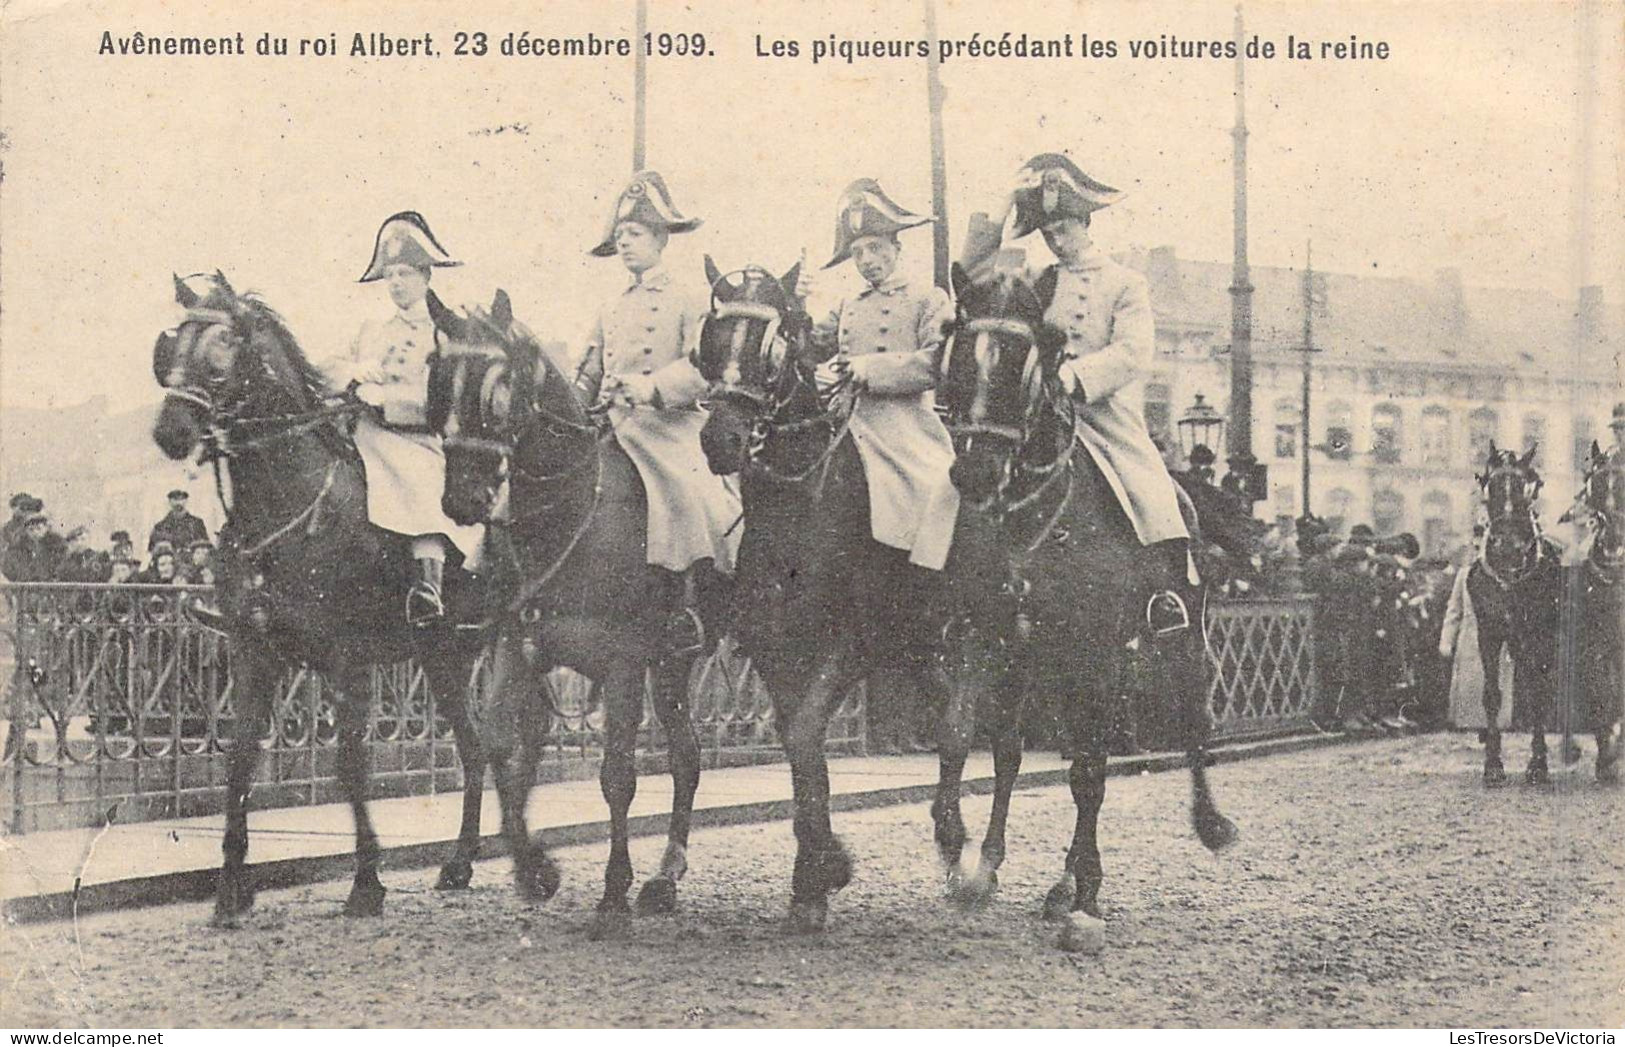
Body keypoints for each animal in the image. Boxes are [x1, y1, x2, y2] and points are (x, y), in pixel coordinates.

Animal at [156, 271, 490, 923]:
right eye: (171, 344)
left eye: (221, 347)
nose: (170, 432)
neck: (287, 502)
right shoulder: (254, 652)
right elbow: (239, 760)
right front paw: (231, 890)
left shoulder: (346, 658)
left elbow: (351, 765)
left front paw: (366, 881)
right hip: (445, 655)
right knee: (475, 747)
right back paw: (461, 863)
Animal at [425, 287, 711, 942]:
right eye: (438, 382)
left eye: (498, 389)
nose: (463, 499)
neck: (573, 507)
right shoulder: (517, 646)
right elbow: (500, 748)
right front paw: (537, 871)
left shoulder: (624, 661)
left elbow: (617, 775)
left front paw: (611, 893)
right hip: (671, 665)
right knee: (686, 756)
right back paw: (666, 877)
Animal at [936, 263, 1235, 942]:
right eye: (959, 349)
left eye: (1027, 353)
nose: (976, 474)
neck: (1030, 517)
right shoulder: (983, 638)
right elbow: (963, 736)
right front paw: (961, 851)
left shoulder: (1092, 656)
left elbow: (1088, 777)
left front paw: (1088, 894)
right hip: (1037, 664)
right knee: (1020, 753)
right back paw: (1027, 870)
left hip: (1173, 648)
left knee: (1188, 726)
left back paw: (1206, 825)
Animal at [1469, 442, 1566, 786]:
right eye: (1491, 486)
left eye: (1528, 487)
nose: (1509, 547)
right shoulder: (1488, 631)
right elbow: (1491, 695)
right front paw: (1493, 764)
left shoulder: (1539, 633)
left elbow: (1538, 693)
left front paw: (1538, 764)